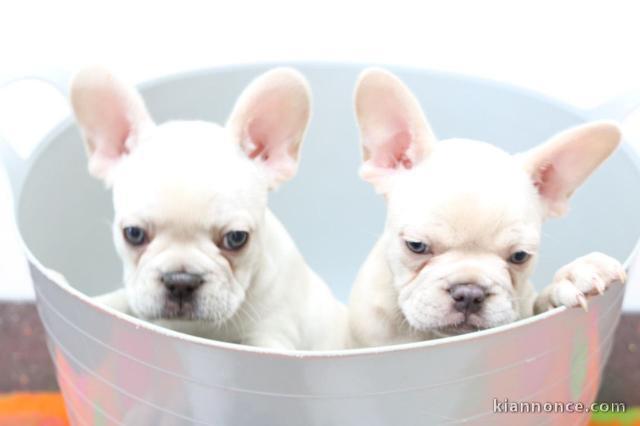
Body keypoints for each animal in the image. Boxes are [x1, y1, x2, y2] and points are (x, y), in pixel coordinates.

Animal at [70, 64, 348, 350]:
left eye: (236, 238)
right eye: (133, 233)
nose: (181, 281)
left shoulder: (274, 331)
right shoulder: (138, 292)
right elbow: (120, 299)